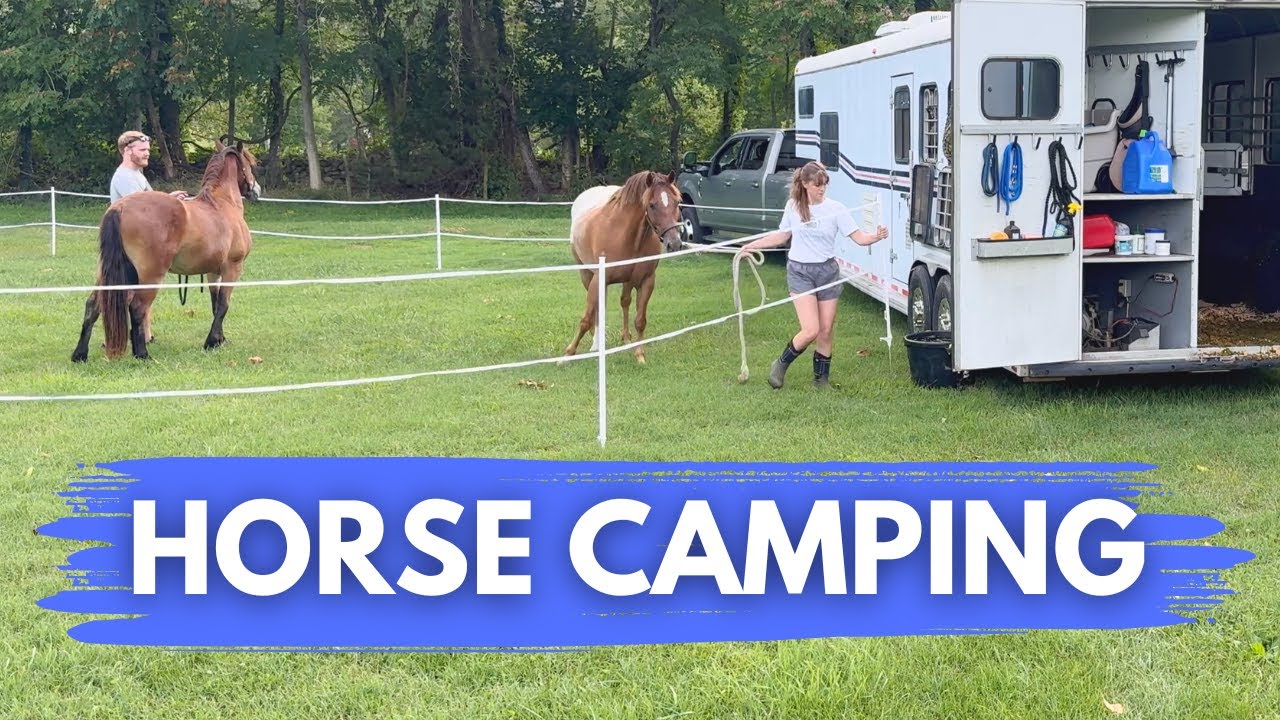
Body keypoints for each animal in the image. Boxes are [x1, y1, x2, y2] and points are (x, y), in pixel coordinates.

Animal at [71, 141, 260, 362]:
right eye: (250, 163)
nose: (256, 190)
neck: (221, 204)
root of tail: (120, 207)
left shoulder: (213, 271)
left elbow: (215, 304)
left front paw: (219, 340)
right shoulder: (233, 268)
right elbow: (223, 305)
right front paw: (211, 342)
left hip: (108, 273)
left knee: (93, 305)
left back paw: (80, 354)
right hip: (150, 276)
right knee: (137, 308)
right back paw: (142, 354)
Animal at [563, 170, 684, 364]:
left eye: (677, 202)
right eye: (652, 205)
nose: (674, 244)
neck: (625, 235)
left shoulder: (647, 281)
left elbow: (640, 320)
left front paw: (639, 354)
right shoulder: (599, 279)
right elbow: (586, 318)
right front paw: (567, 354)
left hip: (628, 280)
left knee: (624, 302)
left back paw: (625, 339)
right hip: (586, 274)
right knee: (599, 309)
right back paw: (596, 343)